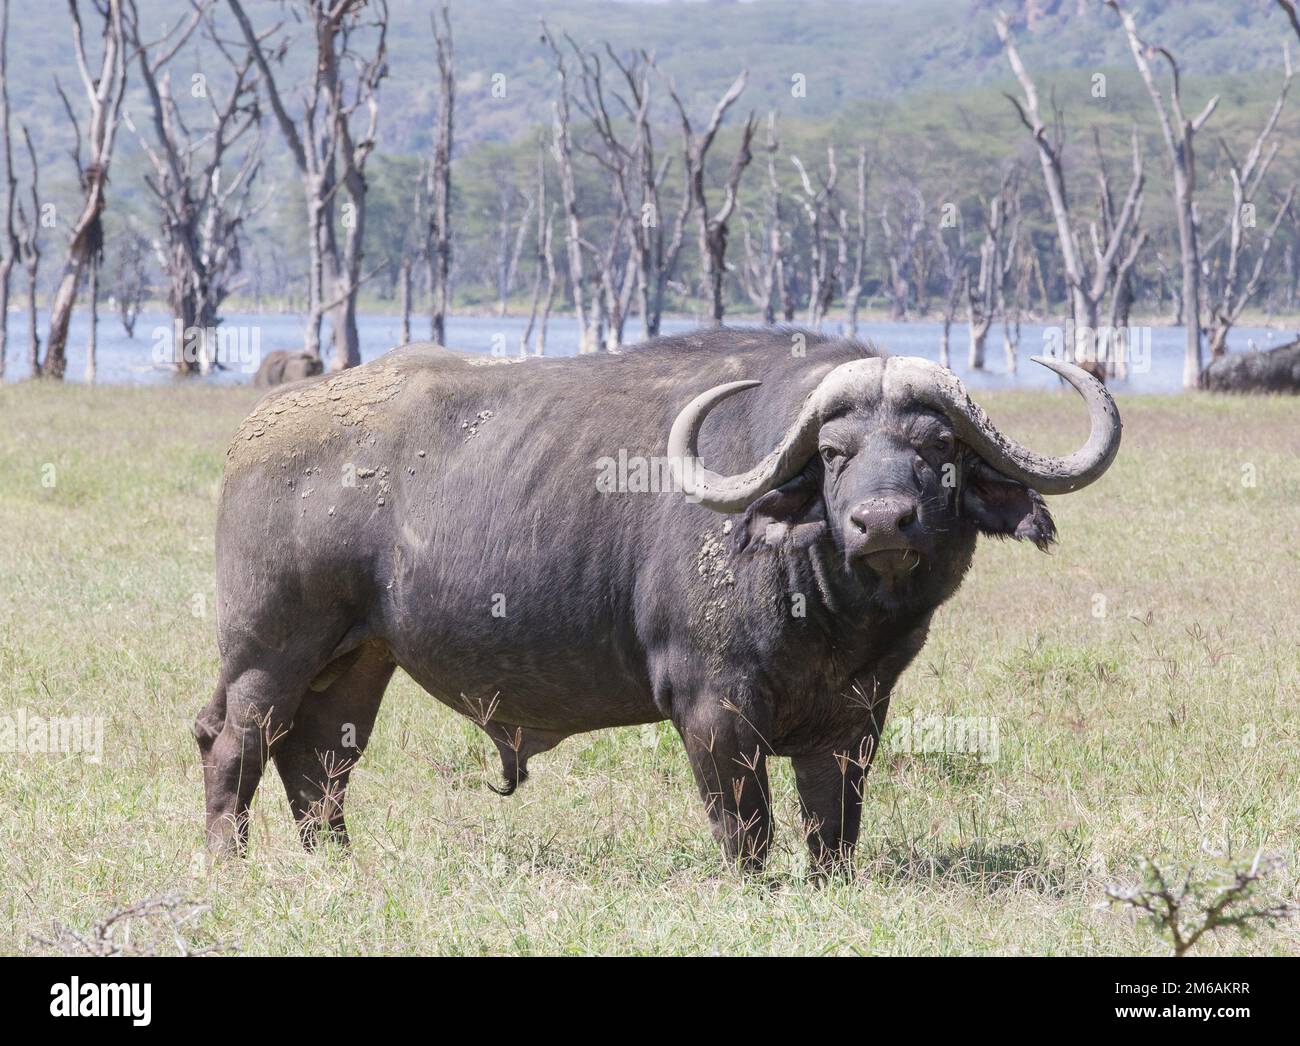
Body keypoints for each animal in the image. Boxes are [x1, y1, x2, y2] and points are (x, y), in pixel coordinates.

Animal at [197, 330, 1123, 867]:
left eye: (939, 449)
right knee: (235, 744)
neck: (829, 613)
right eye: (833, 452)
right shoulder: (712, 708)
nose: (882, 521)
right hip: (270, 650)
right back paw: (230, 863)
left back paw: (336, 864)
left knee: (318, 757)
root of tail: (256, 431)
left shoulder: (857, 716)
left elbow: (834, 829)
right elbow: (747, 828)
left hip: (360, 658)